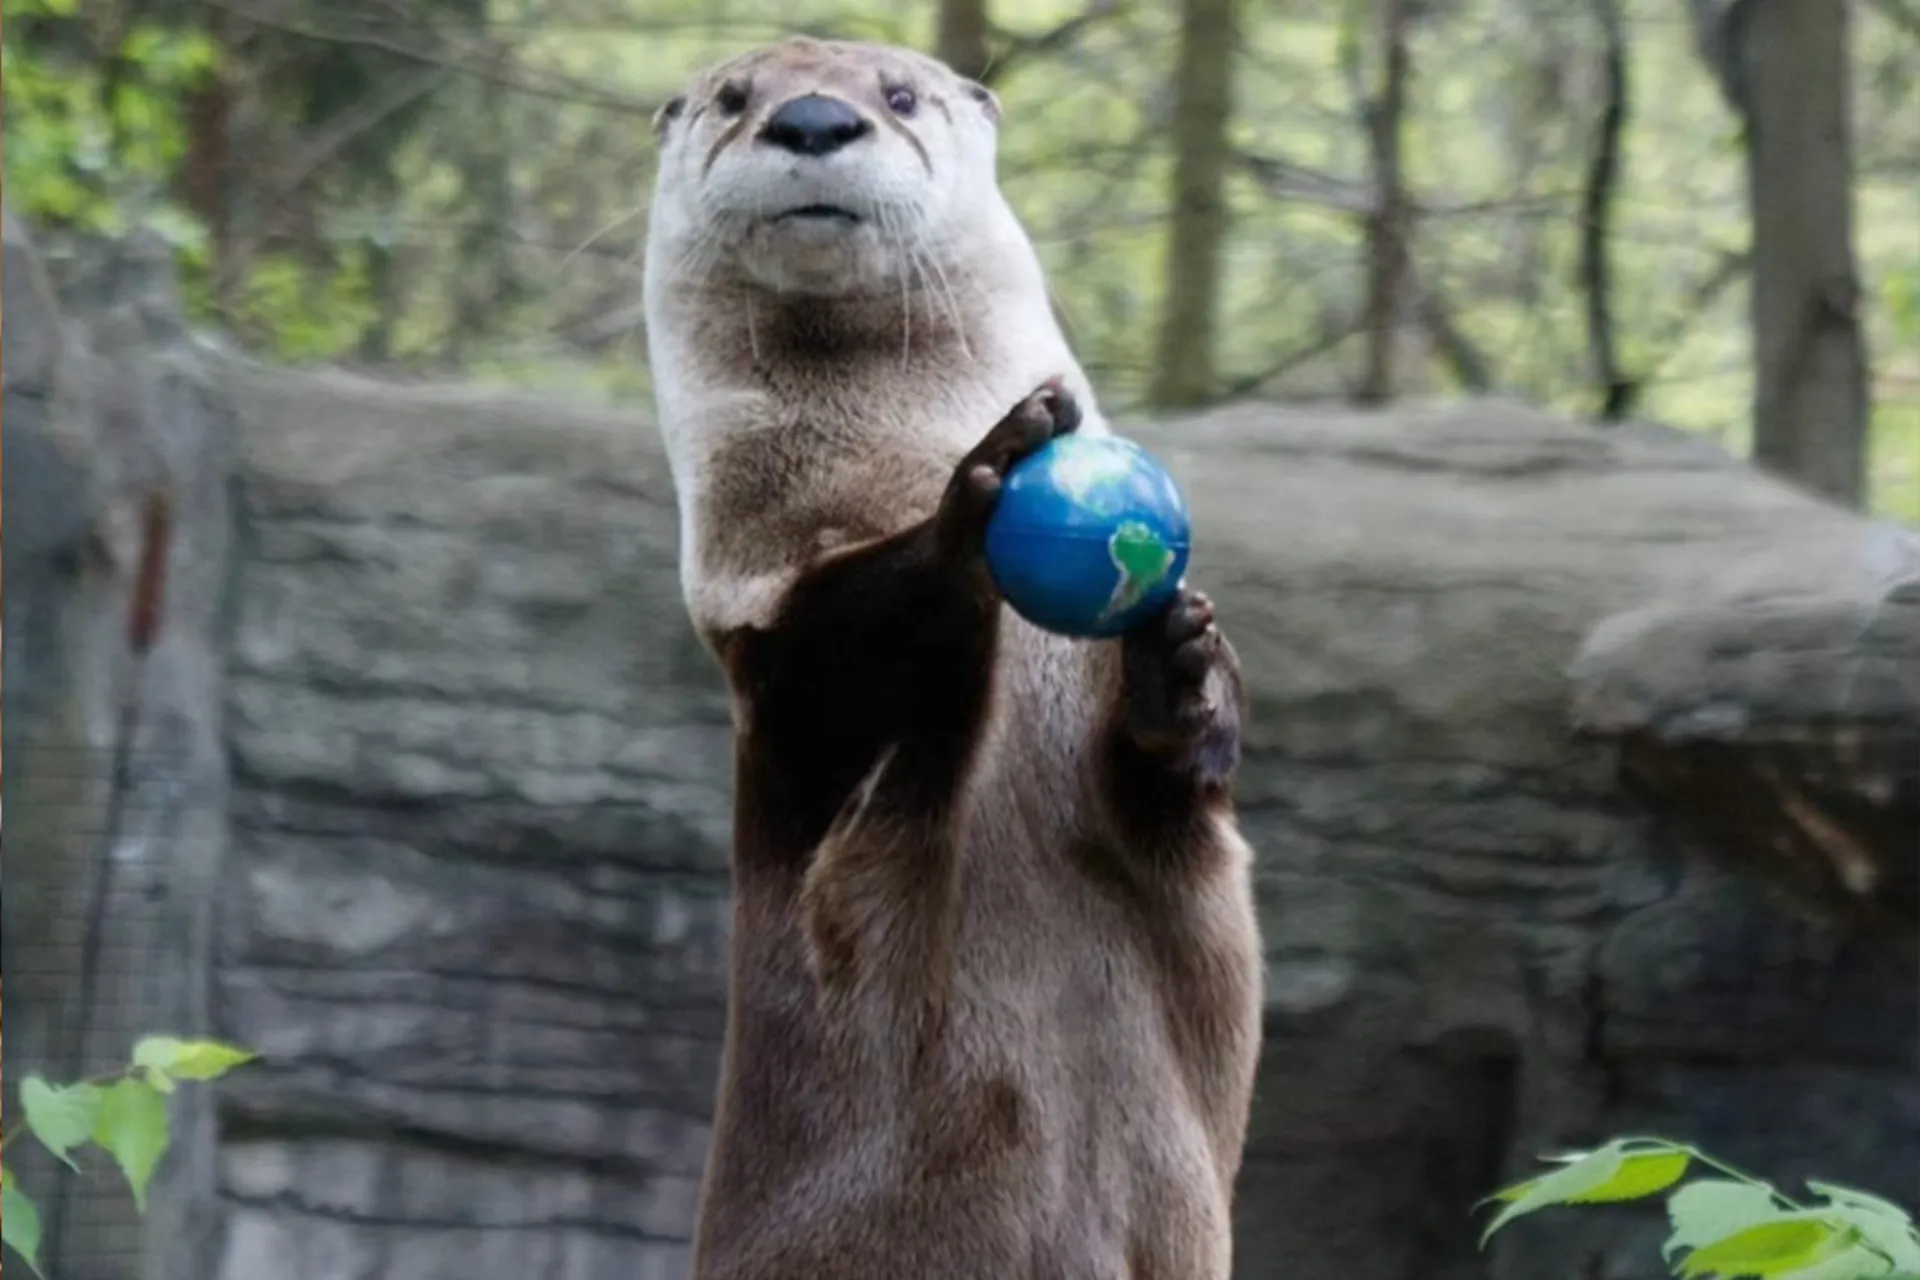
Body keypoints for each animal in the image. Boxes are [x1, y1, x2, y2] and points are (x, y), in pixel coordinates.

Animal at [642, 37, 1264, 1279]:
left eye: (899, 95)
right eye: (734, 97)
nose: (813, 120)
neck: (881, 445)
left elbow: (1168, 790)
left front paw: (1181, 661)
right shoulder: (762, 632)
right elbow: (844, 663)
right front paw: (980, 485)